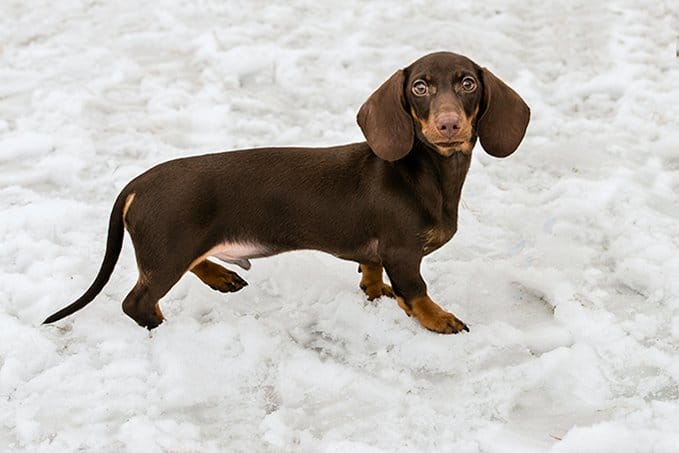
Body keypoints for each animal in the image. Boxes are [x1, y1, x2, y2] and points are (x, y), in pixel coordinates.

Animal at [43, 52, 532, 332]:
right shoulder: (402, 253)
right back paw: (163, 326)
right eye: (419, 86)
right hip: (168, 253)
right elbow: (417, 291)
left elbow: (372, 272)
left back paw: (220, 276)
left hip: (179, 248)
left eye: (468, 83)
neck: (426, 172)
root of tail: (137, 184)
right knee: (138, 301)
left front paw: (374, 290)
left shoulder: (379, 251)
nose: (449, 125)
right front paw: (438, 319)